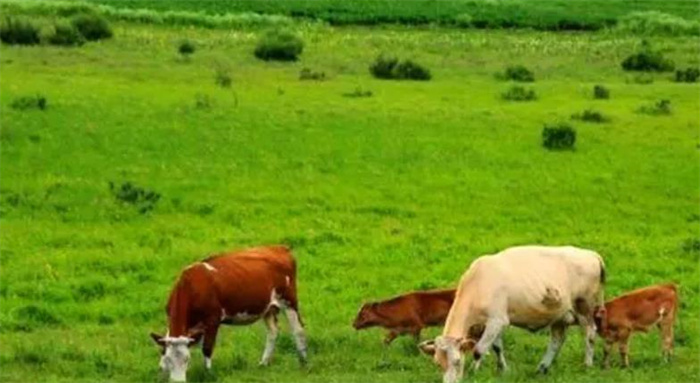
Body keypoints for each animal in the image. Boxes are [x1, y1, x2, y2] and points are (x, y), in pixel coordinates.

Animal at [150, 248, 306, 382]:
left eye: (187, 359)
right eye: (168, 359)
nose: (178, 381)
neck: (191, 286)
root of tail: (280, 248)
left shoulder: (213, 320)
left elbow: (207, 348)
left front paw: (208, 374)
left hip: (289, 301)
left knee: (298, 330)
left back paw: (303, 362)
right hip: (268, 308)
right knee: (273, 332)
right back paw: (263, 363)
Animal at [418, 246, 604, 383]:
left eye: (457, 362)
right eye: (438, 363)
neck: (479, 284)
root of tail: (591, 254)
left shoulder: (497, 320)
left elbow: (479, 350)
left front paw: (473, 371)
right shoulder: (493, 323)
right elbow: (497, 347)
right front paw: (503, 369)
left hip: (584, 307)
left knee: (590, 333)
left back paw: (587, 364)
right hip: (559, 314)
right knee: (557, 340)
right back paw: (542, 368)